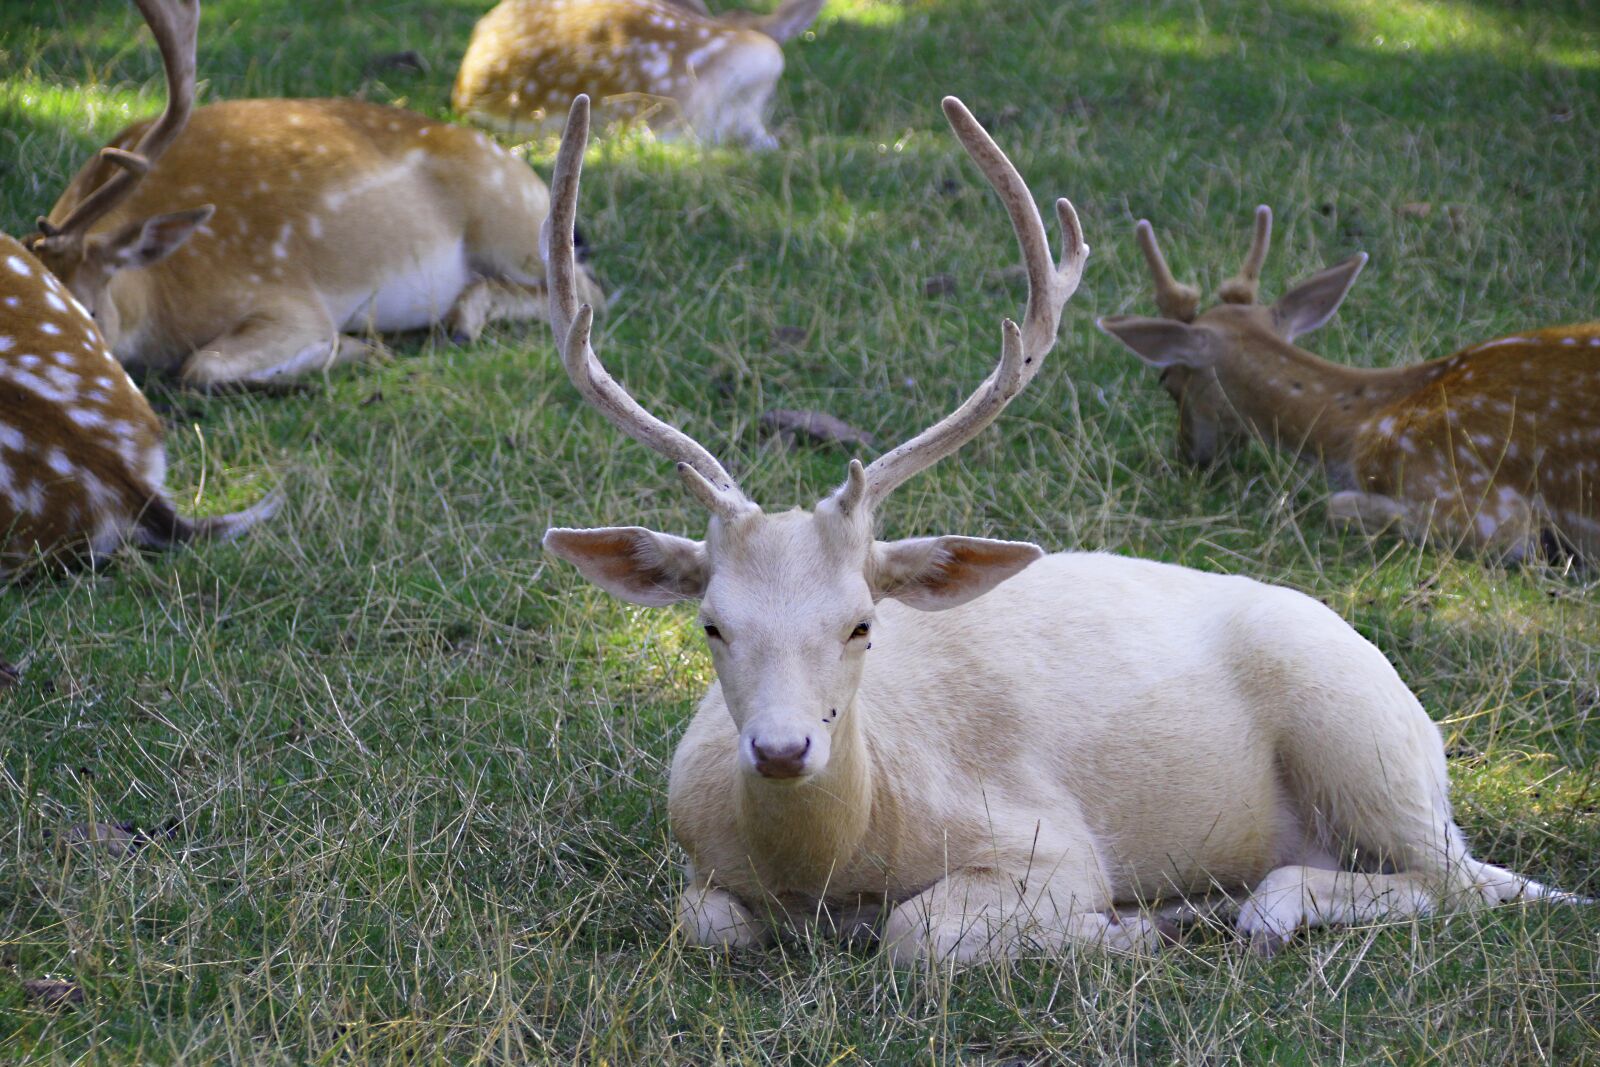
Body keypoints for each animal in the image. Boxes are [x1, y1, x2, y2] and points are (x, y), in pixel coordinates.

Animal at [26, 0, 604, 391]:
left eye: (91, 312)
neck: (156, 293)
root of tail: (523, 168)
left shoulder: (285, 299)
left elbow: (201, 366)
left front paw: (357, 350)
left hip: (512, 225)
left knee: (586, 292)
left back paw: (461, 322)